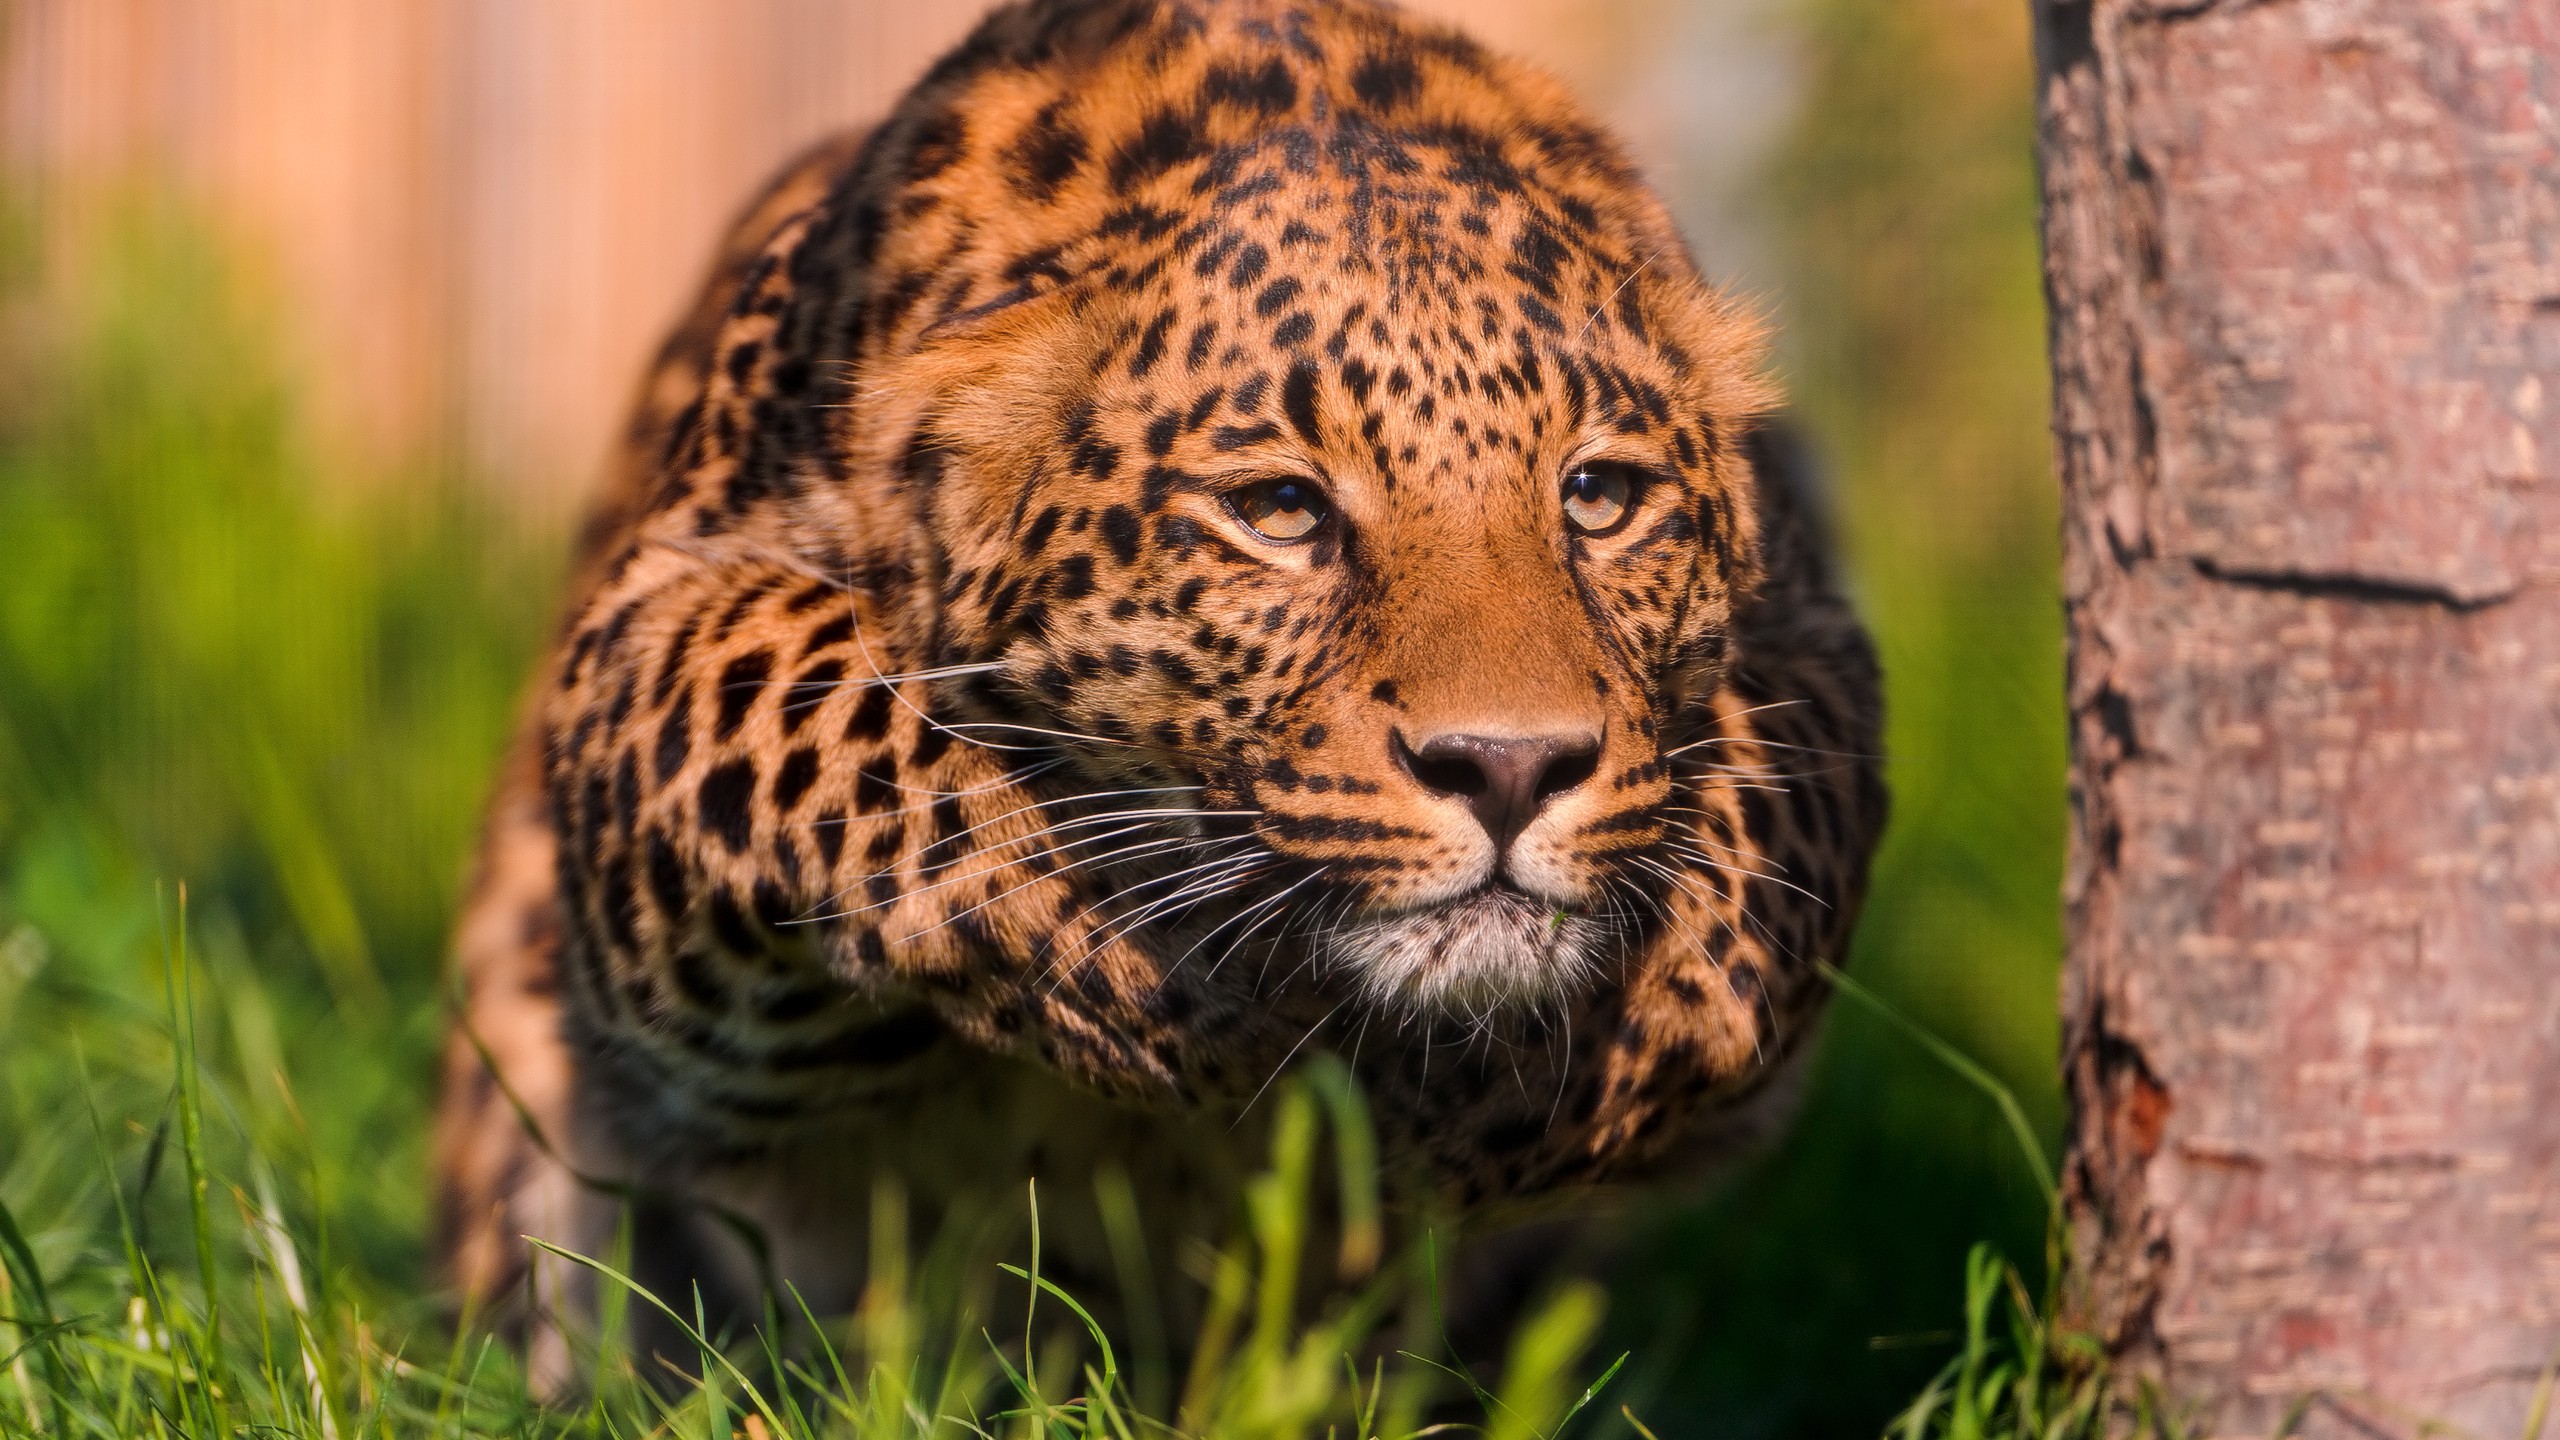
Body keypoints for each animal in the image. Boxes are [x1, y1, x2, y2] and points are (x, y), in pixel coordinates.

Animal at [435, 0, 1884, 1383]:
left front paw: (1517, 1078)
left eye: (1599, 496)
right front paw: (1169, 992)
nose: (1510, 767)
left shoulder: (1818, 651)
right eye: (1280, 512)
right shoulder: (648, 636)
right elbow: (824, 692)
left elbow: (1748, 894)